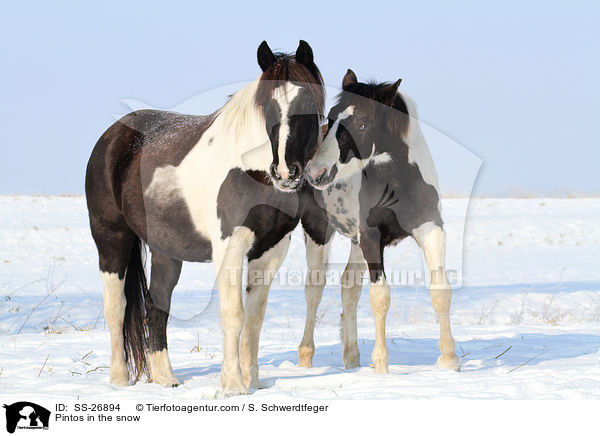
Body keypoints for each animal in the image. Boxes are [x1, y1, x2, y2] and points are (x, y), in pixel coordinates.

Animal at [84, 41, 328, 396]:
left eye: (307, 103)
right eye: (267, 105)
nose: (285, 172)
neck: (251, 171)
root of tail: (113, 136)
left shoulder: (270, 250)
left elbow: (254, 318)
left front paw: (252, 381)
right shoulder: (230, 246)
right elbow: (233, 314)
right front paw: (233, 385)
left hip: (166, 252)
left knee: (156, 309)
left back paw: (166, 379)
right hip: (112, 239)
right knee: (116, 309)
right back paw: (118, 381)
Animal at [302, 70, 462, 372]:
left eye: (363, 124)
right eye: (331, 117)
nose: (316, 173)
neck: (398, 181)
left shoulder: (430, 229)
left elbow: (441, 291)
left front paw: (449, 361)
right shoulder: (372, 238)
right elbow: (380, 297)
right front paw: (381, 366)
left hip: (355, 241)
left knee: (349, 287)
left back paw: (352, 359)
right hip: (319, 233)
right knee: (314, 289)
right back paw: (305, 358)